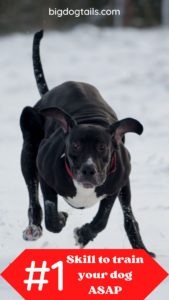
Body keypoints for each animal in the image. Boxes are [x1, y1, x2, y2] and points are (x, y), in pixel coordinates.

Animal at [19, 29, 154, 255]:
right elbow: (51, 215)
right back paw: (34, 228)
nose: (88, 170)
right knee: (33, 198)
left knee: (129, 218)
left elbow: (102, 220)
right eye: (75, 145)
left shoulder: (115, 185)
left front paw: (83, 235)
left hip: (125, 186)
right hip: (28, 148)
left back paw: (141, 249)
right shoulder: (46, 177)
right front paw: (61, 219)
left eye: (102, 147)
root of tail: (48, 93)